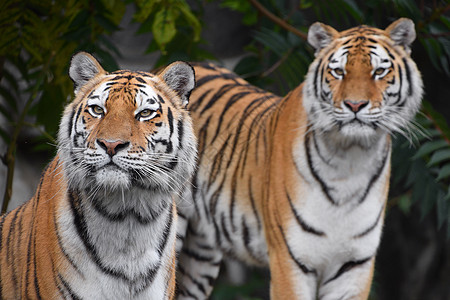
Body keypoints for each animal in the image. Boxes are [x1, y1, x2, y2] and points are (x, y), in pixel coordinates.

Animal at [176, 18, 422, 300]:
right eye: (338, 72)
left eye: (379, 71)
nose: (355, 105)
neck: (350, 159)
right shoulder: (290, 260)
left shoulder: (354, 266)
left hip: (201, 253)